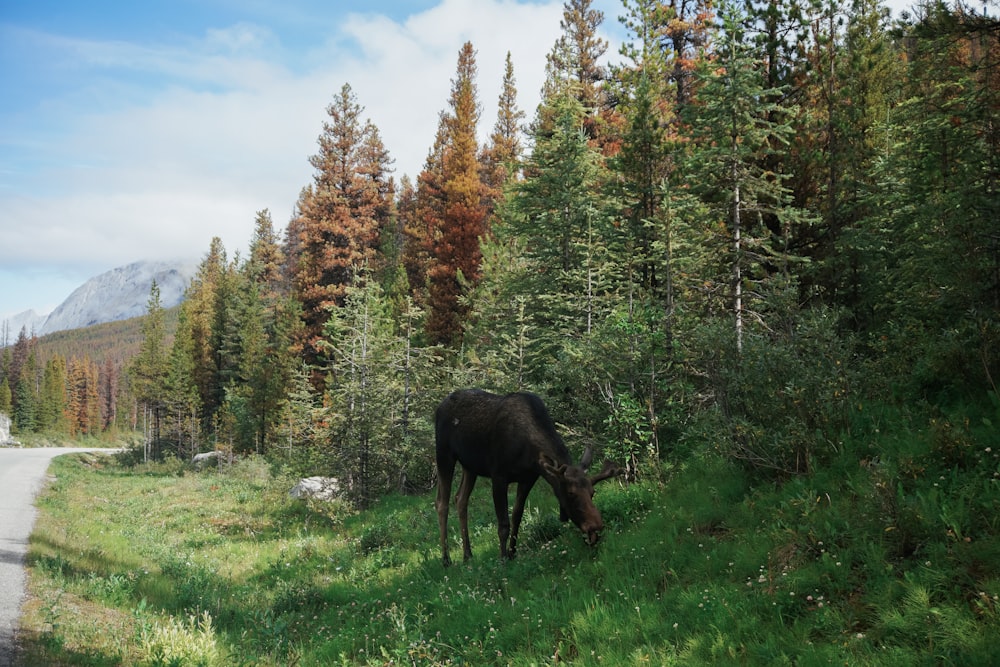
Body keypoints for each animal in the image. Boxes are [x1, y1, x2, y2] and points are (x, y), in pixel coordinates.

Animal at [436, 388, 616, 568]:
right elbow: (503, 524)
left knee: (460, 499)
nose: (596, 526)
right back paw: (446, 559)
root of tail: (439, 407)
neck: (528, 452)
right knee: (442, 503)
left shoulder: (528, 478)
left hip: (470, 466)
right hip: (444, 454)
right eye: (571, 493)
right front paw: (503, 559)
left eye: (592, 492)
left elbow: (517, 517)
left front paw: (512, 553)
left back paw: (467, 555)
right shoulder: (498, 476)